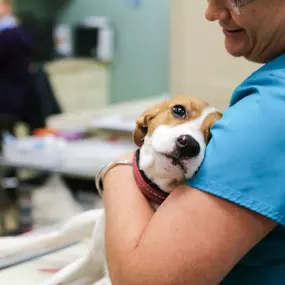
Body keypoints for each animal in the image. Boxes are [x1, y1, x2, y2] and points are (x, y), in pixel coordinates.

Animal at [0, 95, 222, 284]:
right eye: (178, 110)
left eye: (212, 135)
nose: (189, 145)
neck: (155, 189)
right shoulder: (90, 260)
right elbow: (50, 279)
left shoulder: (102, 274)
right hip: (85, 221)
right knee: (52, 238)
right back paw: (8, 245)